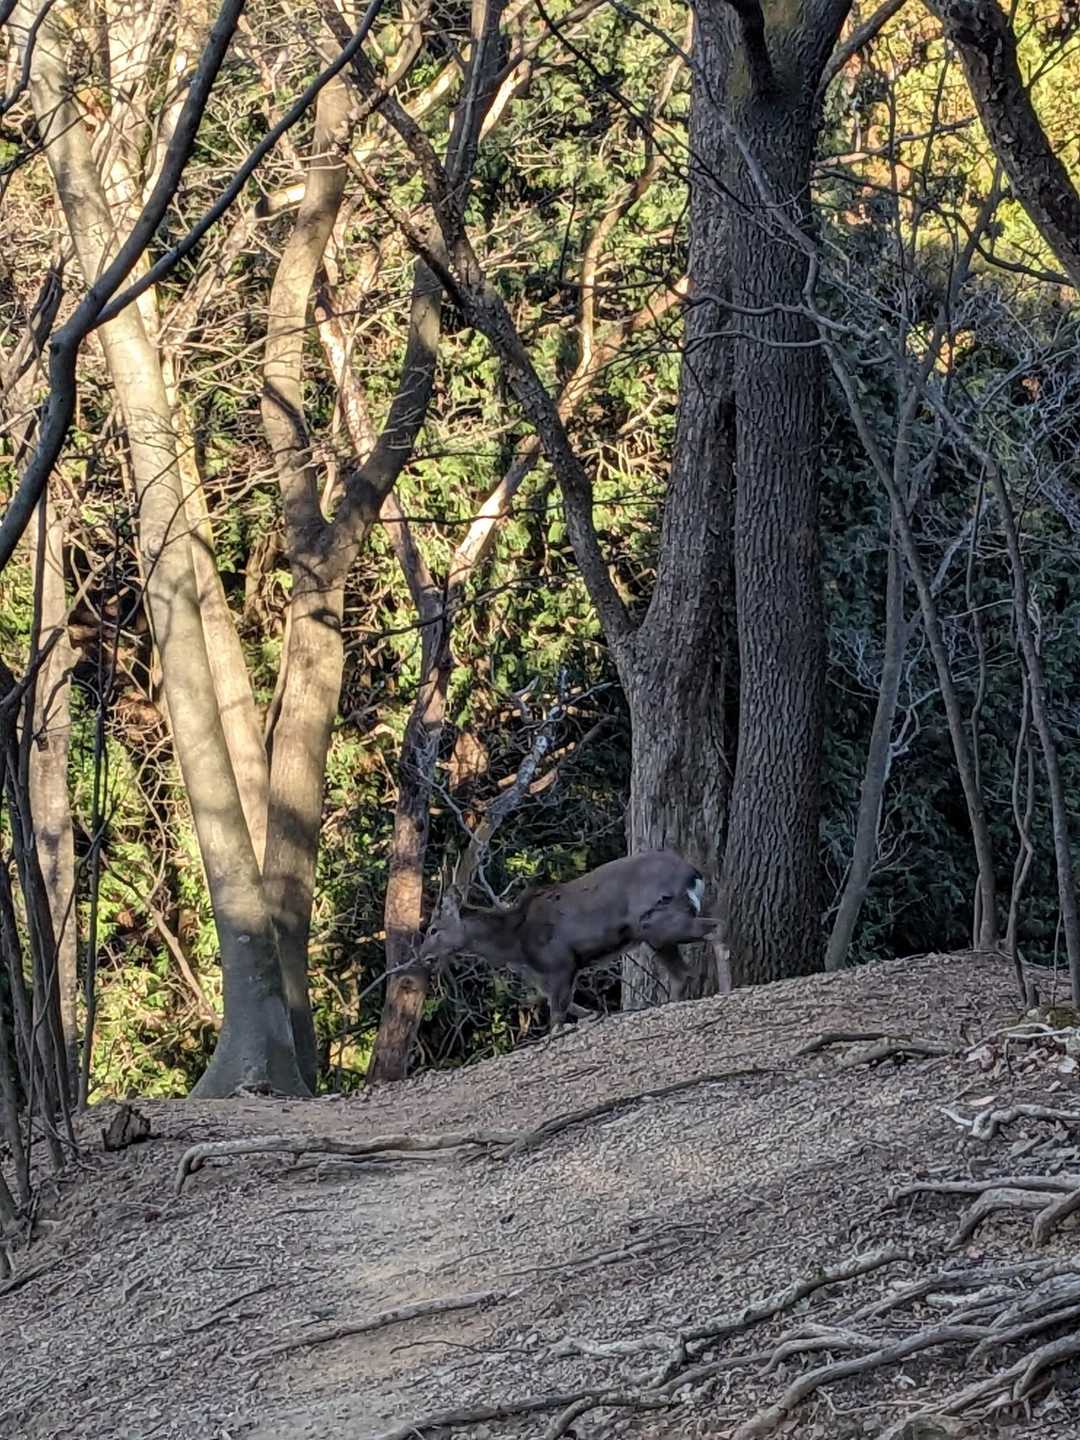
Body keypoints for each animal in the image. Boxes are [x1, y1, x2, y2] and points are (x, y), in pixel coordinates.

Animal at [419, 848, 725, 1030]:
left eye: (433, 929)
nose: (424, 956)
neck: (517, 943)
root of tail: (694, 875)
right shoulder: (558, 971)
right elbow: (559, 1005)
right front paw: (592, 1015)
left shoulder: (560, 962)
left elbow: (556, 1017)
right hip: (655, 933)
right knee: (682, 972)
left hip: (660, 921)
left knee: (715, 928)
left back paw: (724, 989)